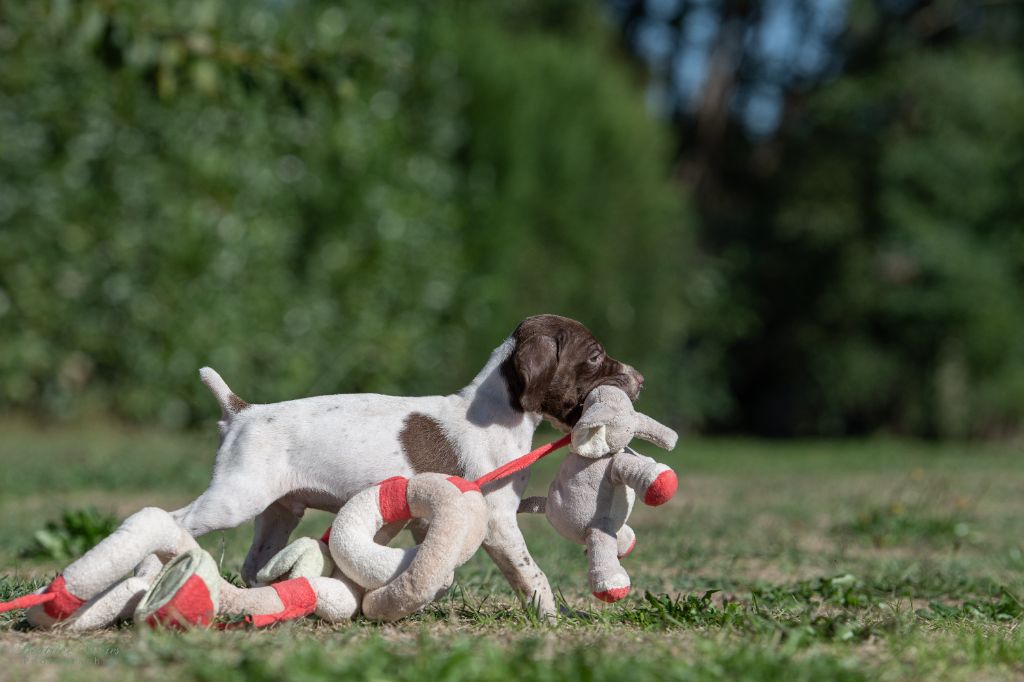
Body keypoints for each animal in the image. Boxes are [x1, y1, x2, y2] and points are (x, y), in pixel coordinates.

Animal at [172, 313, 643, 610]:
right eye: (595, 356)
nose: (640, 379)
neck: (501, 410)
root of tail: (241, 410)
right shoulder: (498, 520)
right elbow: (532, 574)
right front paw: (549, 616)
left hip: (280, 511)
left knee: (255, 564)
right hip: (235, 498)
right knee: (178, 521)